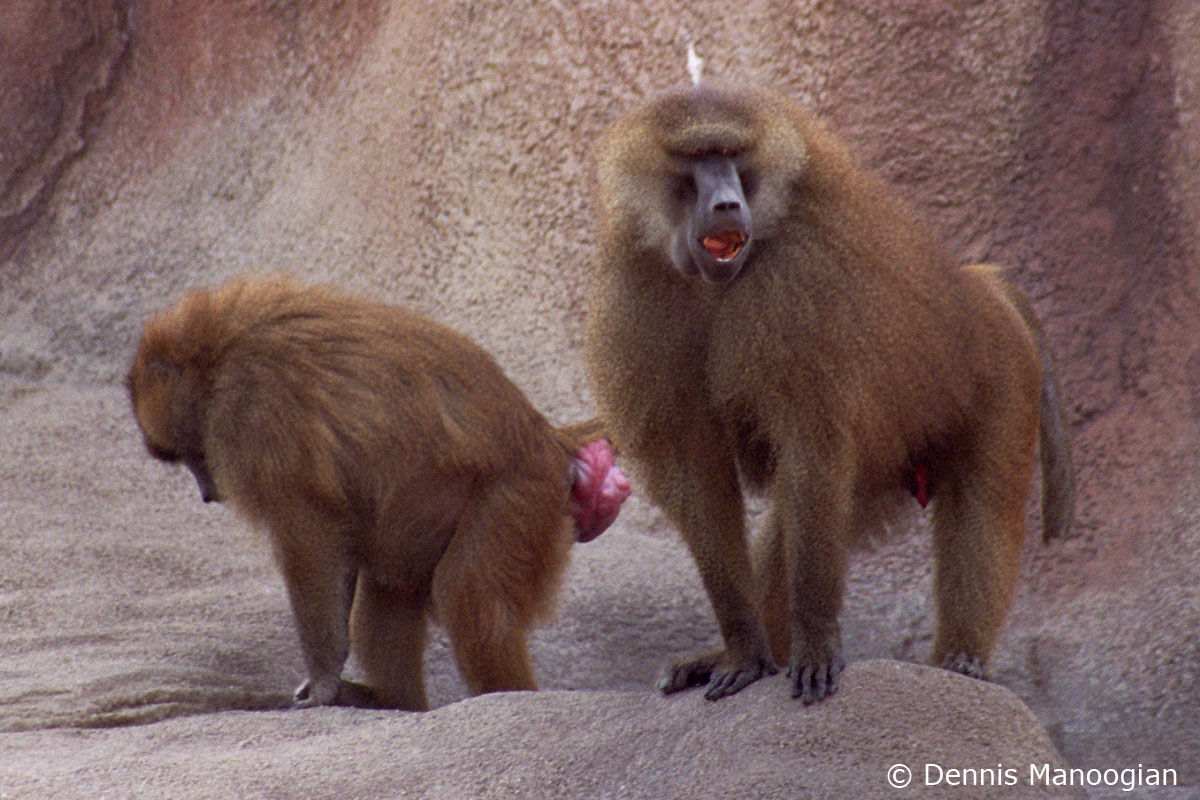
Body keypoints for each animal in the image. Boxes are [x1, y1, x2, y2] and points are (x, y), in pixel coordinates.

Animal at [127, 274, 631, 710]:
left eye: (192, 456)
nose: (206, 493)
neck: (219, 349)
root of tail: (547, 437)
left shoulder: (252, 412)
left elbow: (308, 539)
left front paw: (323, 684)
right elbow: (340, 542)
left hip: (518, 497)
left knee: (468, 592)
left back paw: (505, 700)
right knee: (391, 588)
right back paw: (397, 702)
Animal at [584, 83, 1074, 704]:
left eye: (732, 154)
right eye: (697, 159)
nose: (726, 205)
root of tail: (975, 283)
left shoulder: (800, 286)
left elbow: (810, 444)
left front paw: (816, 643)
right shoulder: (639, 287)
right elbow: (697, 474)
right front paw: (742, 650)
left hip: (1004, 371)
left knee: (977, 501)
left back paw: (960, 660)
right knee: (797, 520)